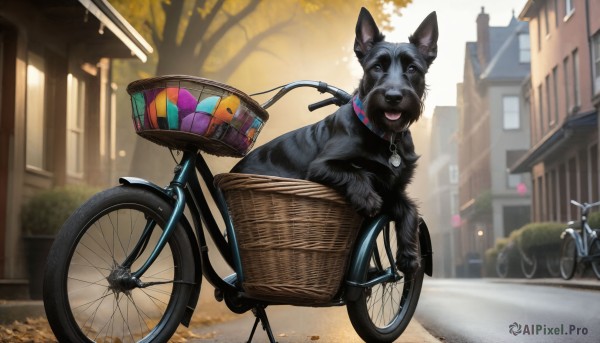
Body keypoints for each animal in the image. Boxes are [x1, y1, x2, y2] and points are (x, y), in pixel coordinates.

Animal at [232, 7, 438, 274]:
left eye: (412, 68)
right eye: (376, 67)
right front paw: (367, 198)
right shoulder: (321, 166)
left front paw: (410, 256)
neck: (383, 135)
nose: (393, 96)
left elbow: (410, 208)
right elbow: (356, 172)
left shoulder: (394, 189)